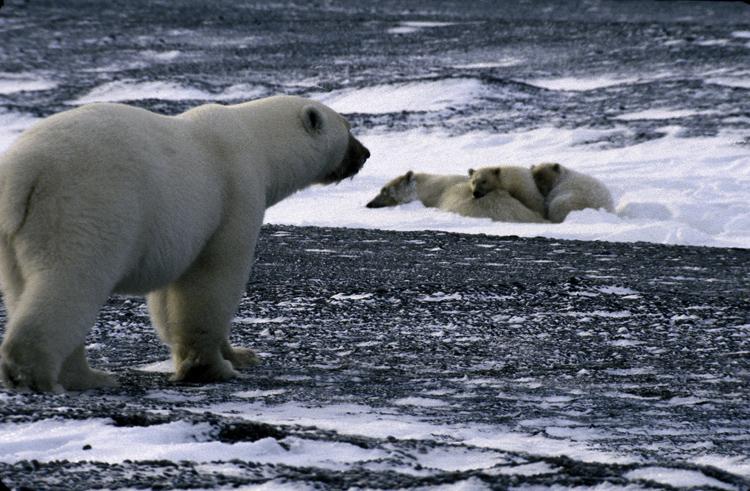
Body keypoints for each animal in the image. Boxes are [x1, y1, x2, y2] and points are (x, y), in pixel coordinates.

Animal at [0, 94, 372, 392]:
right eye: (348, 127)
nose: (366, 153)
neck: (256, 142)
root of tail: (24, 171)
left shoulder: (177, 231)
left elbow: (168, 299)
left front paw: (240, 354)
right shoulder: (234, 197)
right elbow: (211, 283)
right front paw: (211, 368)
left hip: (15, 234)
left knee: (22, 287)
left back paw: (88, 376)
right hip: (86, 205)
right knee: (70, 280)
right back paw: (38, 375)